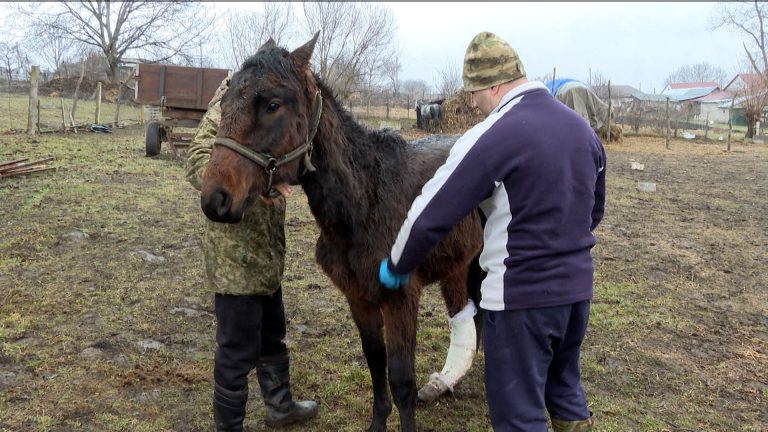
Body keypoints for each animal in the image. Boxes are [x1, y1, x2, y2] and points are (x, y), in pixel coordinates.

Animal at [199, 33, 483, 432]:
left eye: (272, 104)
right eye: (223, 103)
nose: (215, 199)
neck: (368, 198)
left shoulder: (400, 298)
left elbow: (401, 379)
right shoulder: (358, 297)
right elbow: (376, 364)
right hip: (460, 265)